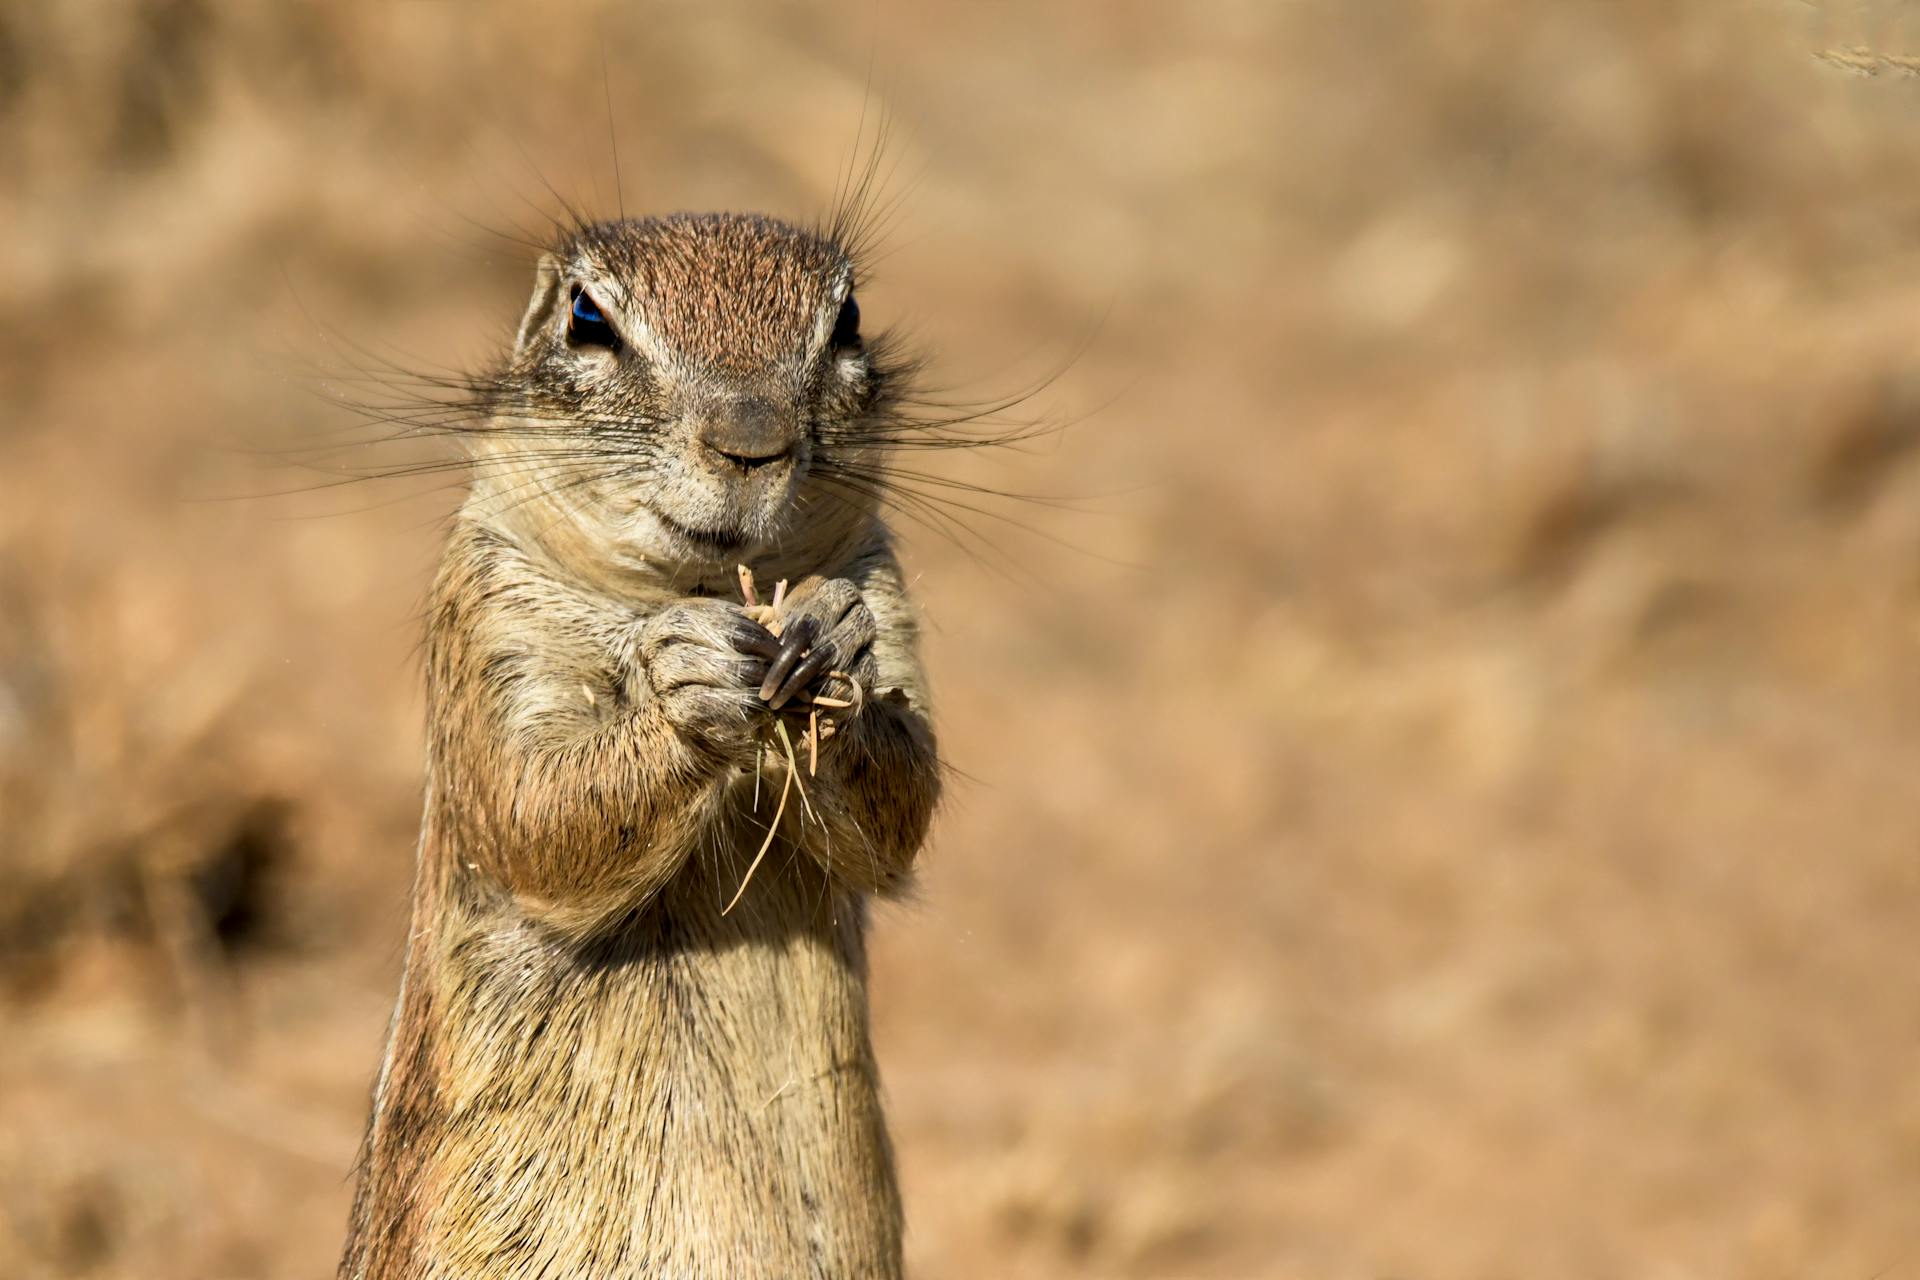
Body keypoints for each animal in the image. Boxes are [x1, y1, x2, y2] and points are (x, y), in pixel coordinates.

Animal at [345, 213, 952, 1280]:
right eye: (588, 320)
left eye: (848, 318)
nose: (751, 443)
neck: (686, 588)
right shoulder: (489, 623)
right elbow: (532, 811)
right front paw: (686, 681)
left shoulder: (885, 579)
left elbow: (903, 800)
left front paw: (832, 640)